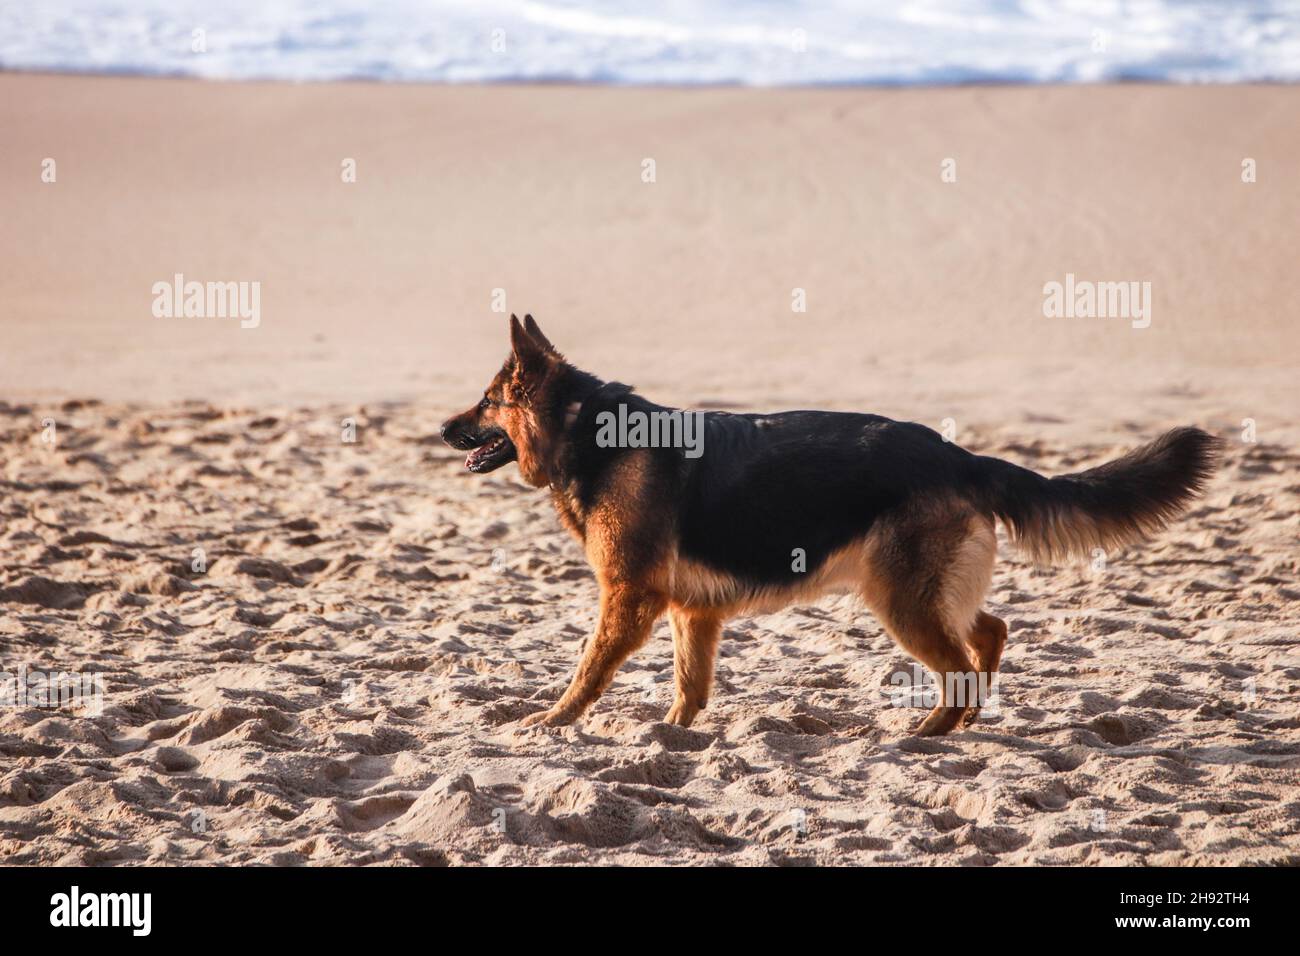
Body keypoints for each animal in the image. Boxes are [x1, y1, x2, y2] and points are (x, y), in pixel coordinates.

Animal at [444, 317, 1216, 738]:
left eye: (484, 401)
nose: (443, 430)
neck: (587, 432)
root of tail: (958, 454)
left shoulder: (629, 601)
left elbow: (587, 671)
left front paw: (553, 722)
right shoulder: (693, 612)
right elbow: (689, 688)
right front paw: (670, 739)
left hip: (899, 598)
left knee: (961, 664)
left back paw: (926, 734)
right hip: (926, 592)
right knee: (991, 632)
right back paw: (965, 719)